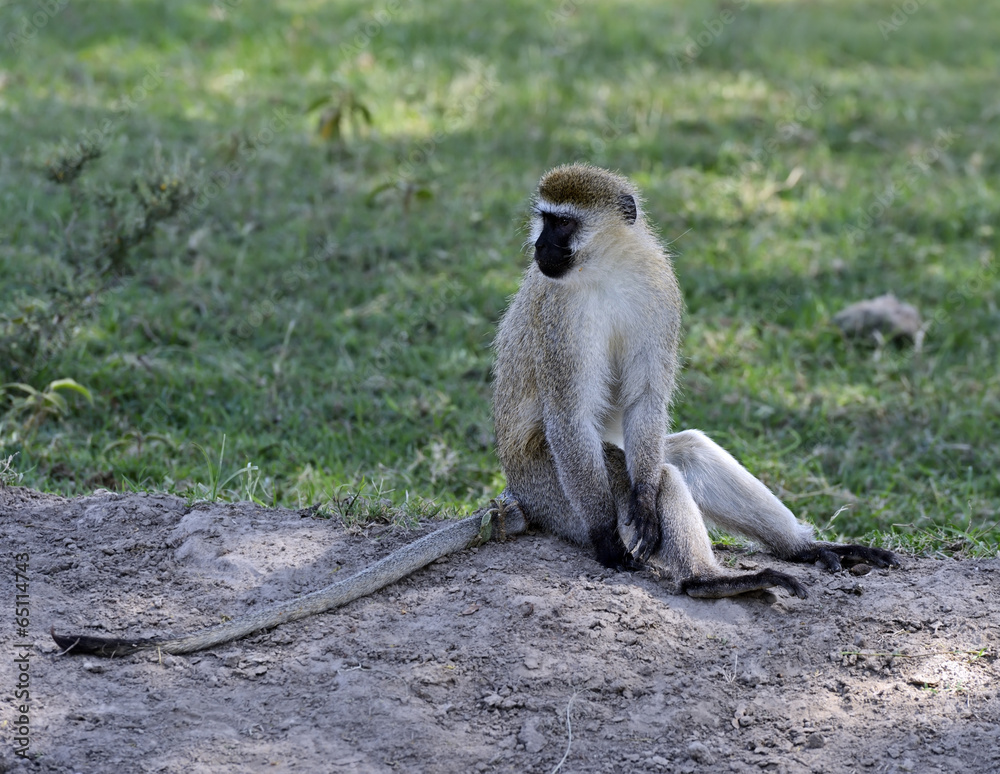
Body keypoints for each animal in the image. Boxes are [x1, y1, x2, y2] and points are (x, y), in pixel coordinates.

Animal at [51, 164, 896, 658]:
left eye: (562, 222)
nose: (539, 252)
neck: (606, 268)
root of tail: (515, 496)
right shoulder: (560, 318)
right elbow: (571, 417)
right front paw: (613, 543)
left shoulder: (661, 289)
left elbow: (648, 404)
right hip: (551, 487)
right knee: (641, 475)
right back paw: (703, 583)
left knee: (671, 458)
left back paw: (809, 550)